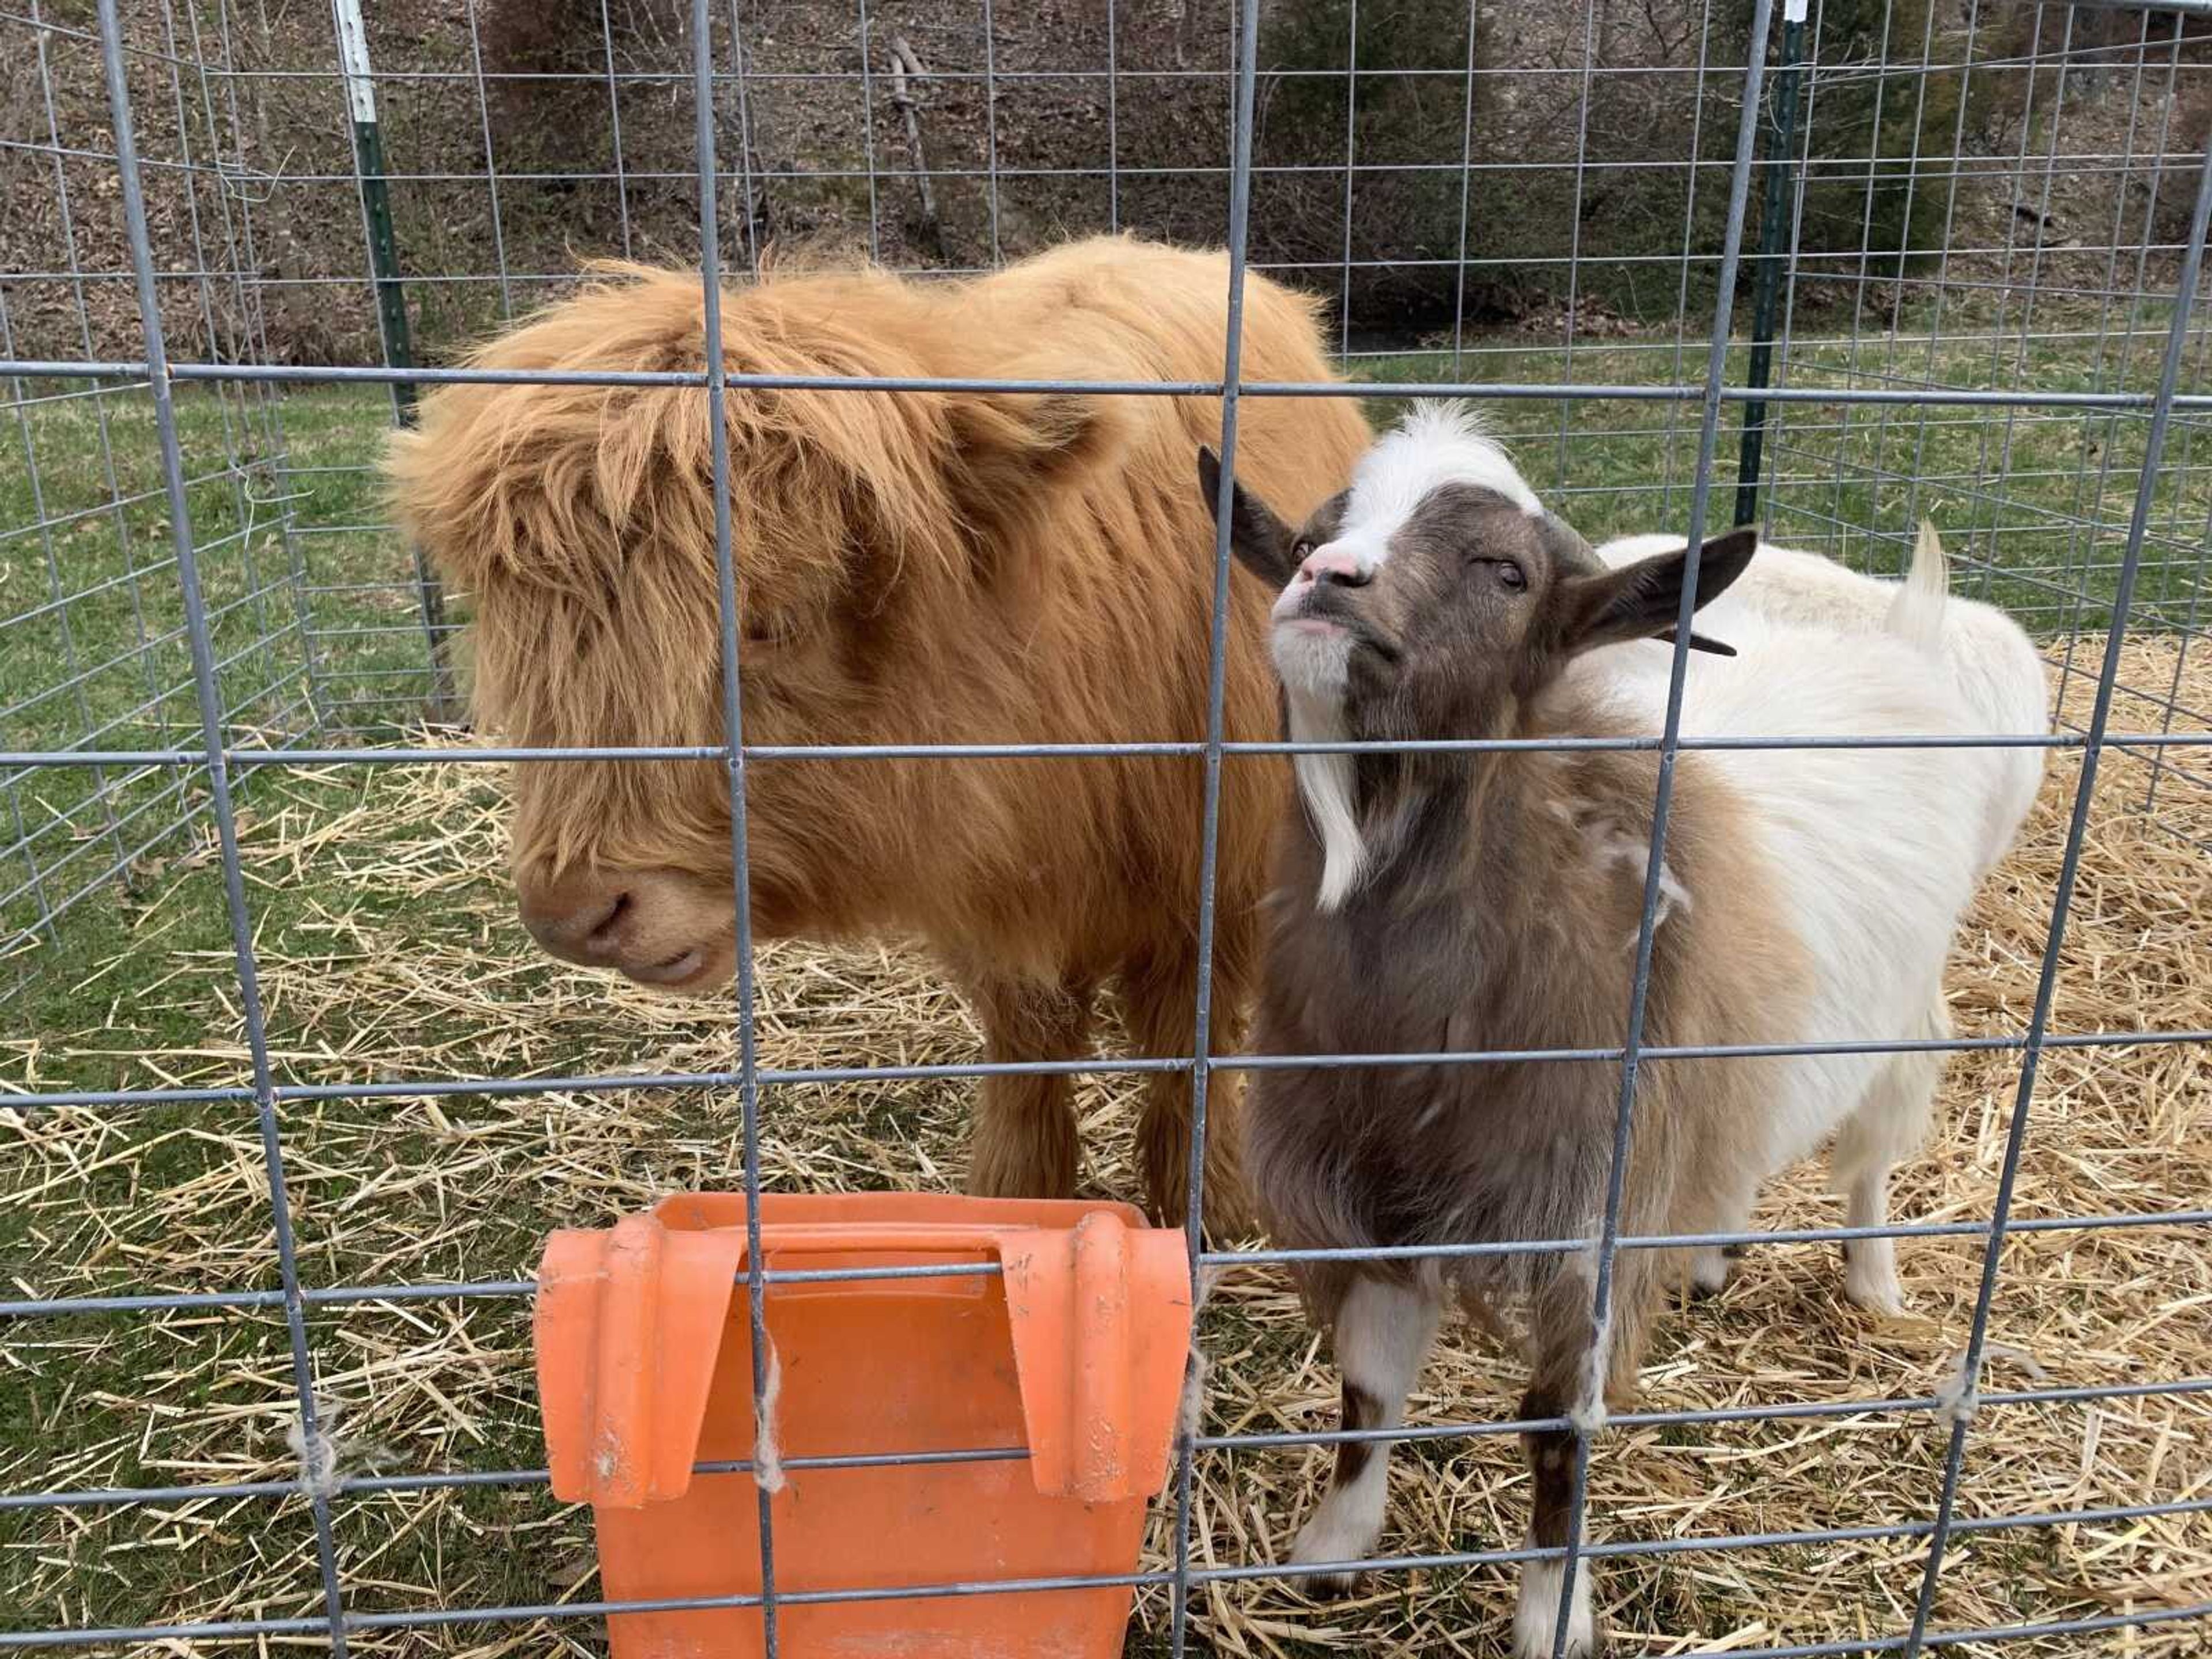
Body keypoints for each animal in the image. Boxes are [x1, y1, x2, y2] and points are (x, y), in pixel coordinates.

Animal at [1203, 407, 2017, 1659]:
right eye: (1311, 533)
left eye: (1507, 571)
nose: (1324, 579)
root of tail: (1896, 621)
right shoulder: (1375, 1189)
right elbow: (1368, 1387)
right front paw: (1331, 1553)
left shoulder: (1588, 1212)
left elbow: (1557, 1426)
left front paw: (1553, 1614)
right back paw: (1715, 1258)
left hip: (1900, 1024)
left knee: (1871, 1161)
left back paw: (1875, 1283)